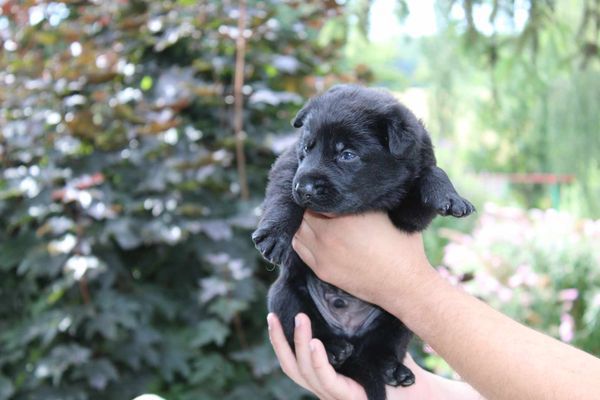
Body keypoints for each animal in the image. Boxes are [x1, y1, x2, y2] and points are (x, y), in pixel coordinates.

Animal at [252, 85, 474, 400]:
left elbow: (431, 173)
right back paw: (333, 348)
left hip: (400, 316)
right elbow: (283, 193)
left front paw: (450, 196)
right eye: (306, 148)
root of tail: (349, 337)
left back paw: (393, 370)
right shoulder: (289, 167)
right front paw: (275, 233)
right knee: (302, 325)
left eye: (347, 154)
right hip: (284, 296)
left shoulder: (407, 215)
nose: (305, 189)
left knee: (381, 349)